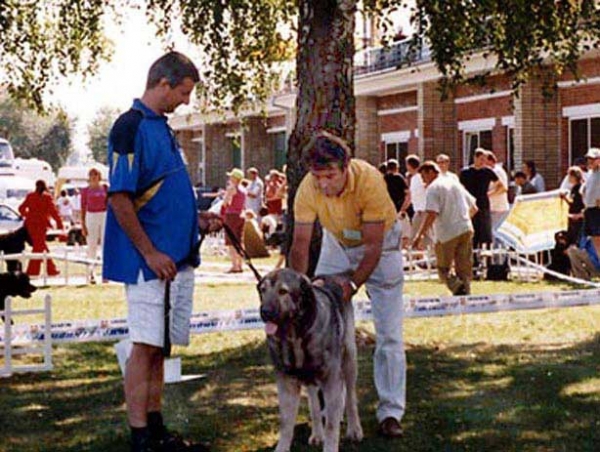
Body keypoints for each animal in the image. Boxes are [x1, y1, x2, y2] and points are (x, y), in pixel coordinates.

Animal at [256, 268, 360, 452]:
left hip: (349, 359)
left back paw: (354, 429)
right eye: (263, 290)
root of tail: (334, 276)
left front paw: (331, 444)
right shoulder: (287, 384)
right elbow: (286, 423)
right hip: (311, 378)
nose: (265, 312)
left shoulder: (331, 380)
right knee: (314, 404)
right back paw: (317, 433)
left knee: (350, 397)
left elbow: (332, 426)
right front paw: (282, 447)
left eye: (283, 291)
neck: (295, 335)